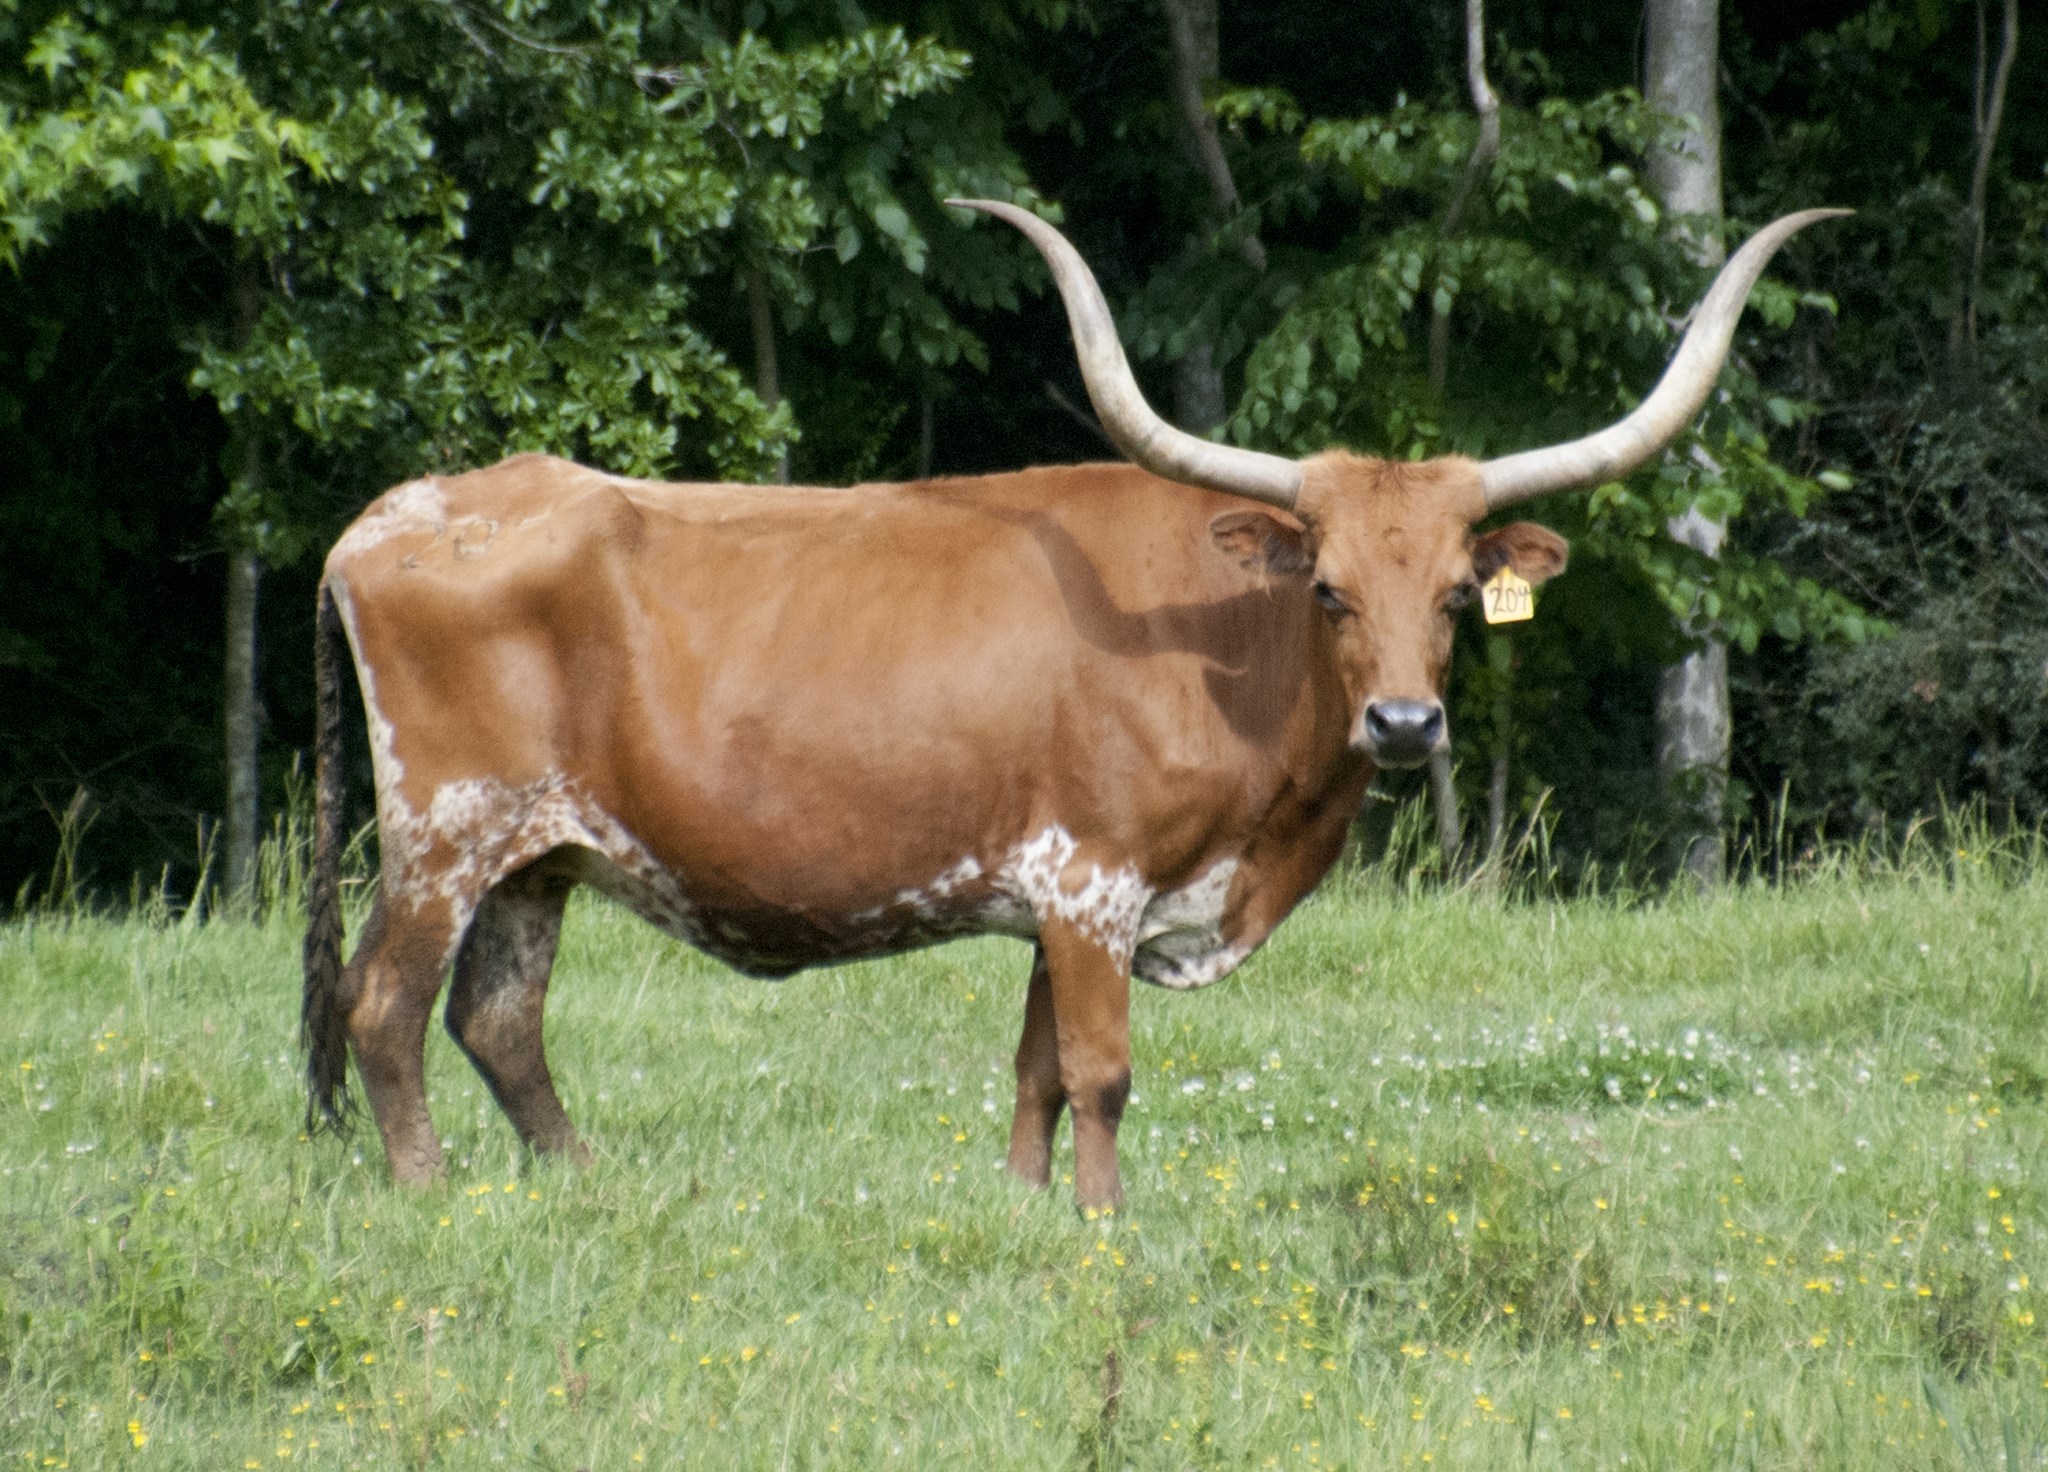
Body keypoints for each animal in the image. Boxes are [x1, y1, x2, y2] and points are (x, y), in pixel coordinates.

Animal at [302, 200, 1844, 1208]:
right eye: (1328, 588)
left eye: (1461, 595)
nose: (1405, 728)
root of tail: (391, 516)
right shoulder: (1094, 882)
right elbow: (1100, 1069)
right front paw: (1105, 1226)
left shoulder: (1053, 900)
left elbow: (1036, 1072)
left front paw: (1029, 1210)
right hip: (444, 831)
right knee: (385, 1005)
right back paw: (429, 1192)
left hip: (539, 855)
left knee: (499, 1018)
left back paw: (583, 1184)